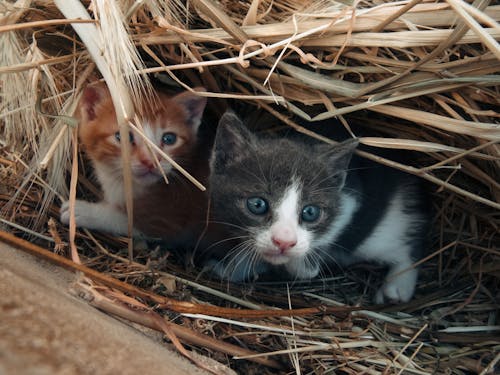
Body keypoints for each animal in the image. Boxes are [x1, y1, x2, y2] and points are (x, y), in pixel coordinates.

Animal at [59, 83, 207, 236]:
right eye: (123, 136)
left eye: (169, 139)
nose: (150, 162)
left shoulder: (168, 222)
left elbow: (126, 221)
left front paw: (84, 211)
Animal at [203, 110, 430, 304]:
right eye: (257, 204)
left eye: (310, 212)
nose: (284, 242)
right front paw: (229, 269)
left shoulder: (350, 198)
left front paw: (305, 264)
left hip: (388, 227)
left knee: (405, 244)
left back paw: (398, 287)